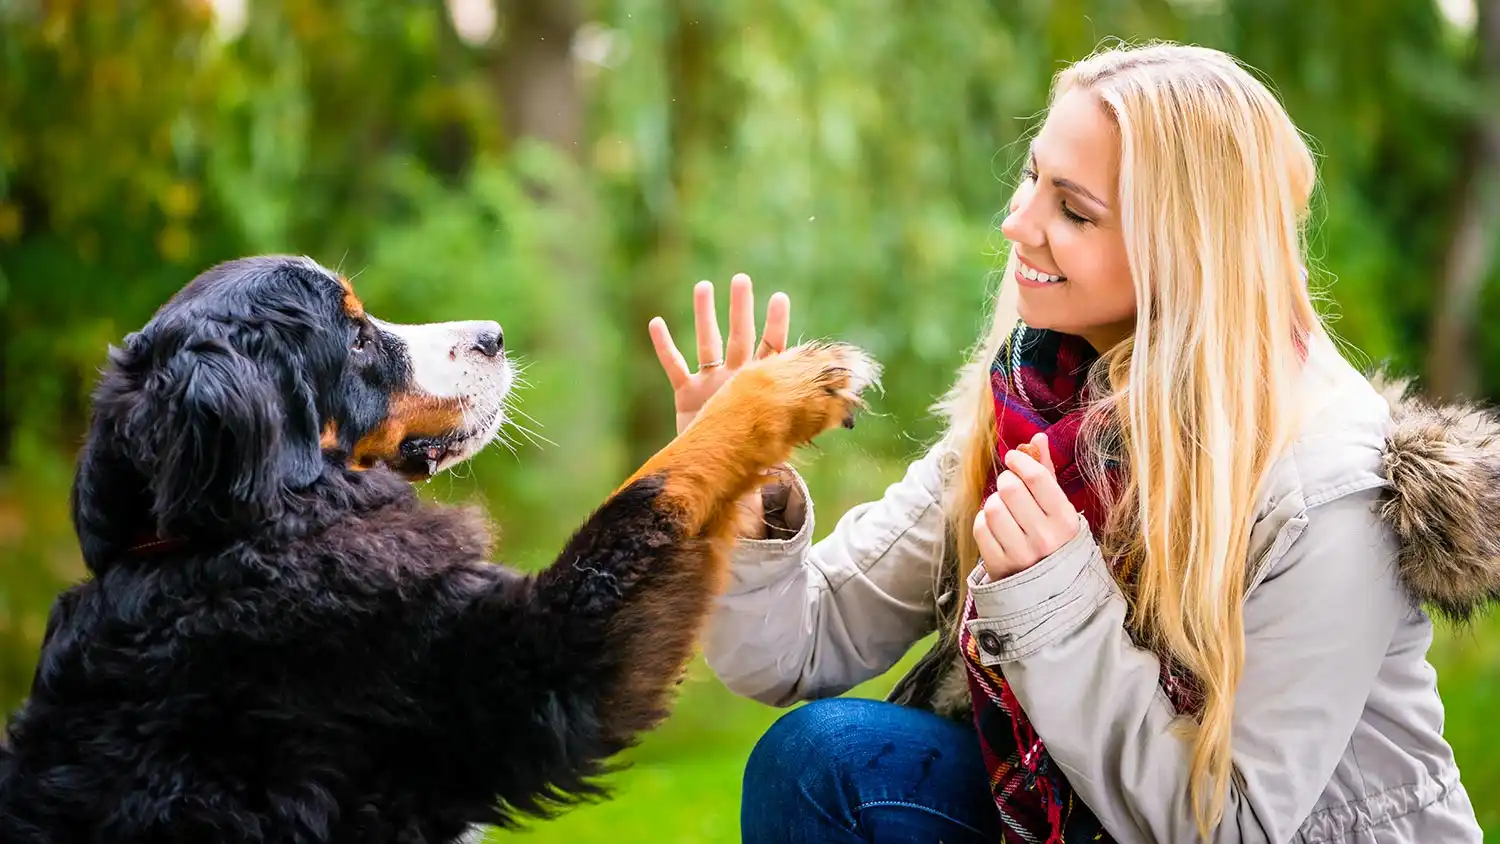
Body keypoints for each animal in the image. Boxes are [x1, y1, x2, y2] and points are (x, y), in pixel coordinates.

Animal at [0, 256, 876, 844]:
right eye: (355, 339)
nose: (493, 335)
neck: (219, 540)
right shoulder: (528, 672)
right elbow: (653, 486)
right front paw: (786, 383)